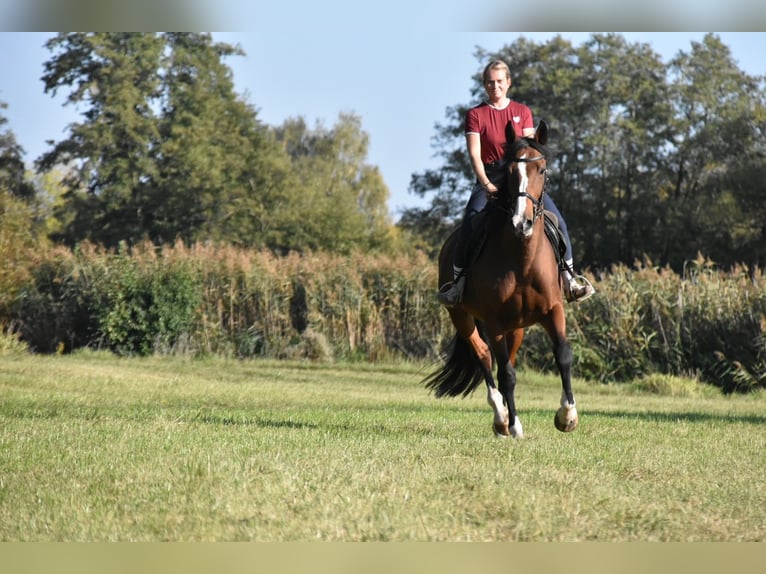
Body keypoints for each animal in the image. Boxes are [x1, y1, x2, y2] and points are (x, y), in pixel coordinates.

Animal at [424, 119, 578, 438]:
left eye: (541, 169)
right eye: (509, 172)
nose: (522, 222)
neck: (522, 260)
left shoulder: (553, 310)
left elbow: (563, 355)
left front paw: (567, 416)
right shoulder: (493, 322)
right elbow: (505, 373)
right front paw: (515, 425)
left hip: (516, 326)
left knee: (509, 356)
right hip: (462, 316)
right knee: (484, 356)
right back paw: (501, 418)